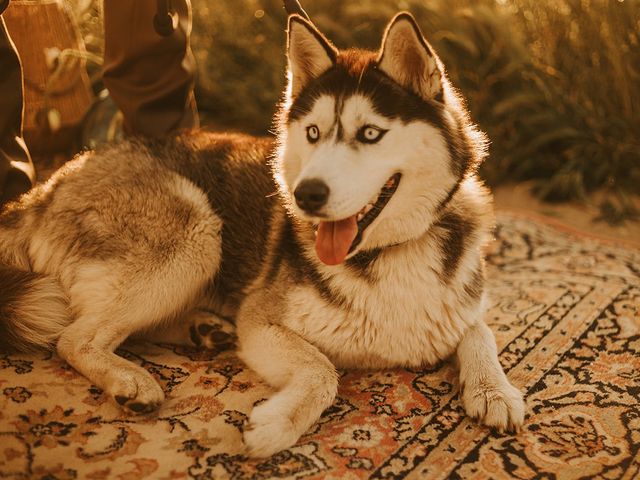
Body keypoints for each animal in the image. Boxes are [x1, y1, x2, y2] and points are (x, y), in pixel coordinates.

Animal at [0, 13, 524, 456]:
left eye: (370, 134)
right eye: (312, 133)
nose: (305, 194)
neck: (392, 252)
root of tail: (48, 185)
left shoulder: (459, 305)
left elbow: (481, 332)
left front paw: (495, 390)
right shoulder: (261, 321)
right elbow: (322, 369)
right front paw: (277, 424)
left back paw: (202, 329)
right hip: (197, 232)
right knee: (74, 336)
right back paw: (131, 378)